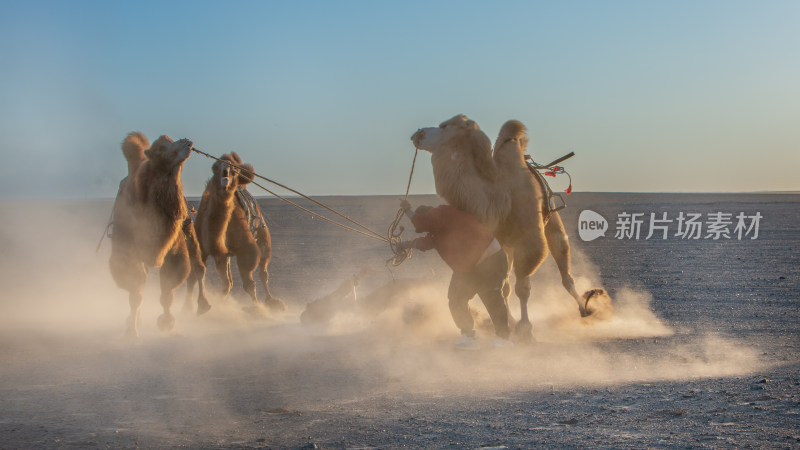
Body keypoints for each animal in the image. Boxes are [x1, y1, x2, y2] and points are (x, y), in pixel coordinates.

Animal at [109, 131, 209, 338]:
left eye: (170, 141)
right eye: (161, 148)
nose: (186, 142)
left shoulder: (174, 250)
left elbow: (168, 291)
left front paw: (167, 322)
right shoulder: (127, 255)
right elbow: (135, 292)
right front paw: (131, 331)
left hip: (189, 231)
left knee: (198, 267)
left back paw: (203, 304)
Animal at [189, 153, 286, 312]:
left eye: (234, 169)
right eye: (215, 167)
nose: (226, 171)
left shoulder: (246, 250)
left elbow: (249, 284)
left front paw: (258, 310)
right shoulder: (202, 248)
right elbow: (196, 274)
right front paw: (195, 306)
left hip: (263, 236)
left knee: (263, 272)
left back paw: (272, 301)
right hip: (225, 256)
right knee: (227, 282)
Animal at [412, 114, 612, 340]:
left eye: (444, 126)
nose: (418, 133)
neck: (500, 195)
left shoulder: (530, 241)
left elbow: (522, 287)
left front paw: (526, 329)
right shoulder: (495, 241)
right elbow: (502, 286)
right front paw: (513, 324)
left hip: (553, 224)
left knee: (566, 273)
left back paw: (587, 307)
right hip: (509, 244)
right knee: (508, 284)